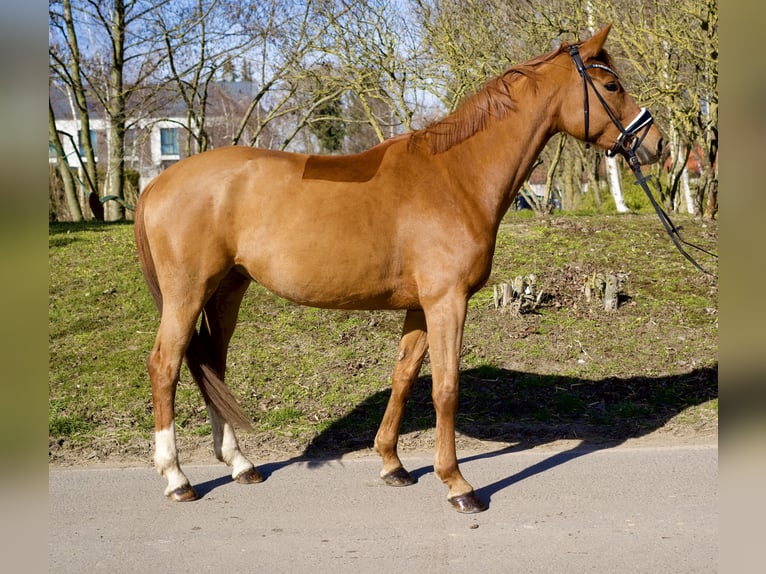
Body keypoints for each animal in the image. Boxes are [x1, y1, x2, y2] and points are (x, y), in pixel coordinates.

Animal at [134, 24, 664, 516]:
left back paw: (240, 464)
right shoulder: (447, 302)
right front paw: (457, 484)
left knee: (212, 364)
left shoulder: (420, 306)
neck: (455, 176)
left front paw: (393, 464)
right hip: (188, 293)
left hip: (227, 290)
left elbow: (405, 376)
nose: (654, 143)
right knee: (165, 365)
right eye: (612, 85)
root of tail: (158, 182)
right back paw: (177, 477)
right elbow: (447, 388)